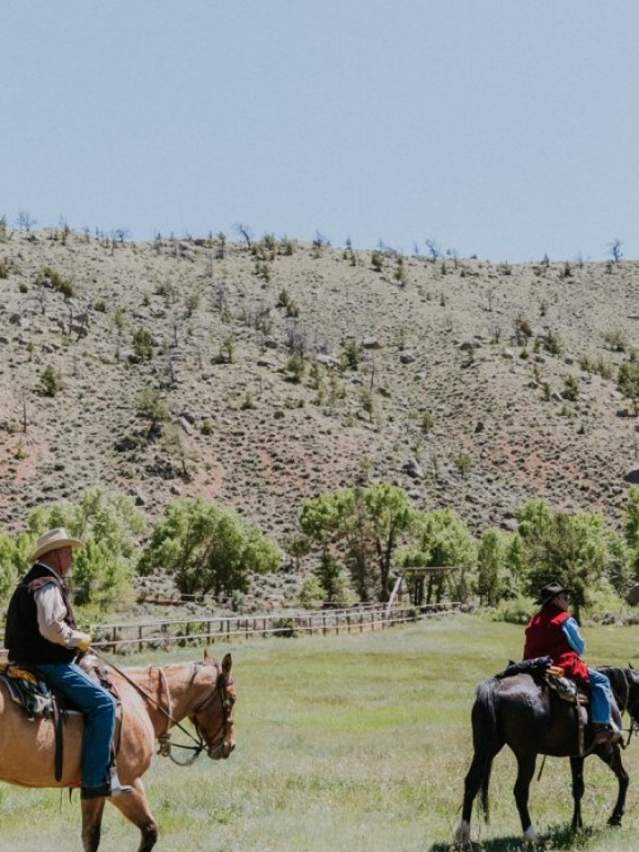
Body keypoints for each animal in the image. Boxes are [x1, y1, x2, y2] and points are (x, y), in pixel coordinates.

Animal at [0, 648, 238, 848]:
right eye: (233, 699)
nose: (230, 745)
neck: (140, 702)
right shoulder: (126, 783)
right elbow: (149, 831)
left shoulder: (93, 788)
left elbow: (90, 836)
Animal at [452, 668, 639, 848]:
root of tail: (495, 688)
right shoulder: (608, 749)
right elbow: (624, 778)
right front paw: (615, 818)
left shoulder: (576, 755)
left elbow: (578, 789)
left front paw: (576, 826)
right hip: (526, 755)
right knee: (520, 791)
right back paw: (532, 837)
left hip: (485, 748)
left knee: (471, 782)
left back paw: (463, 837)